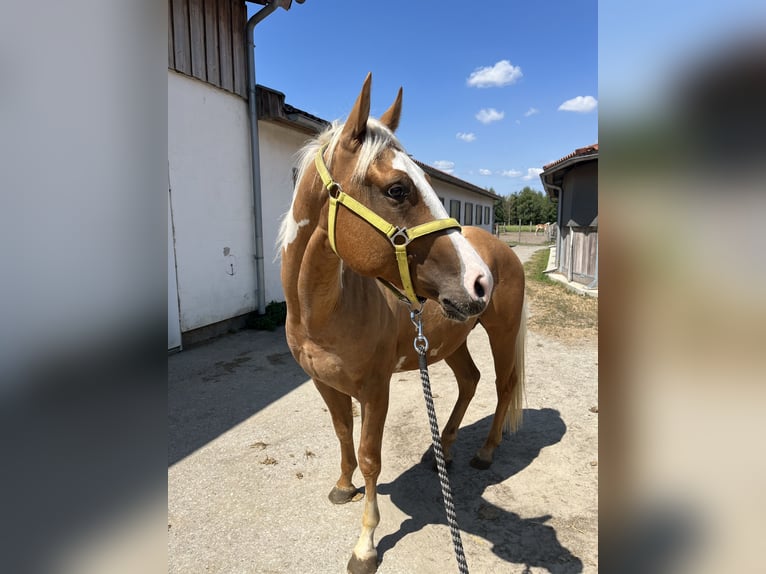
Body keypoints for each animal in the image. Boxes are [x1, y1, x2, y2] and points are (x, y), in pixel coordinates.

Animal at [280, 74, 528, 572]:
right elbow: (343, 434)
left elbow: (371, 457)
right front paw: (343, 487)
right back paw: (444, 450)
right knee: (470, 380)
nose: (480, 282)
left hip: (501, 332)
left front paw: (365, 545)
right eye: (397, 189)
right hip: (451, 338)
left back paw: (485, 452)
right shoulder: (323, 383)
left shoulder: (376, 390)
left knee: (503, 385)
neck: (324, 311)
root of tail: (501, 250)